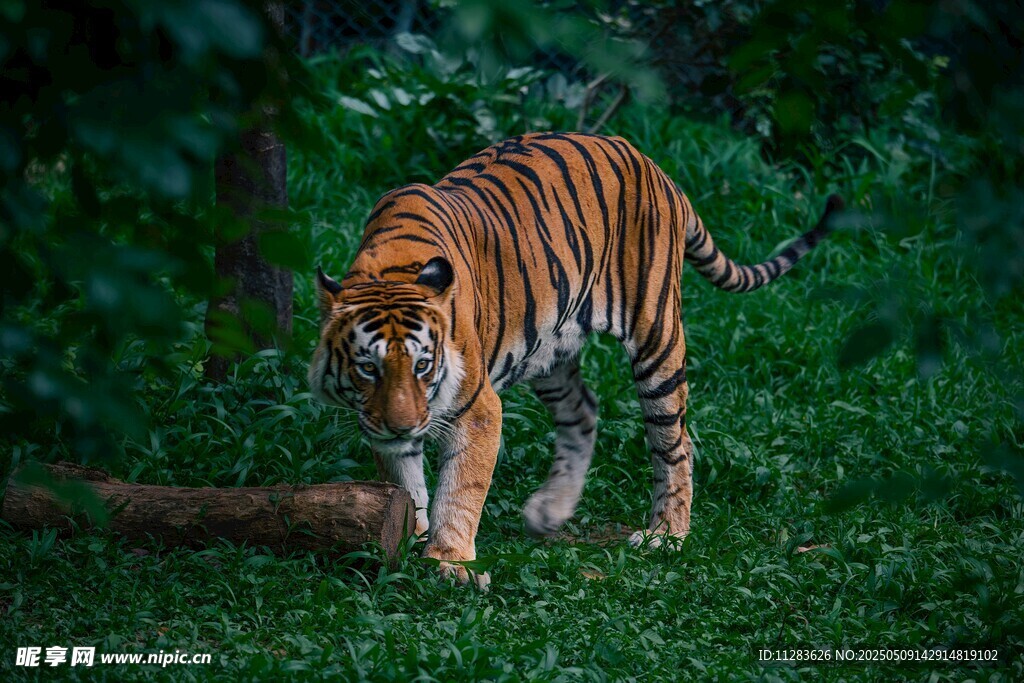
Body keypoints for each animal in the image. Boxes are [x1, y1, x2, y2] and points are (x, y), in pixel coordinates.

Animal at [309, 132, 842, 587]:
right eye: (369, 368)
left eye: (423, 366)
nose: (403, 425)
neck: (390, 270)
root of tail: (652, 164)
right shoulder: (383, 421)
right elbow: (406, 480)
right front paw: (413, 537)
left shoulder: (477, 408)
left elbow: (460, 490)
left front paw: (449, 562)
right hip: (549, 350)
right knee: (584, 412)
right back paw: (551, 512)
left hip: (657, 334)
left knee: (676, 442)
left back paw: (667, 535)